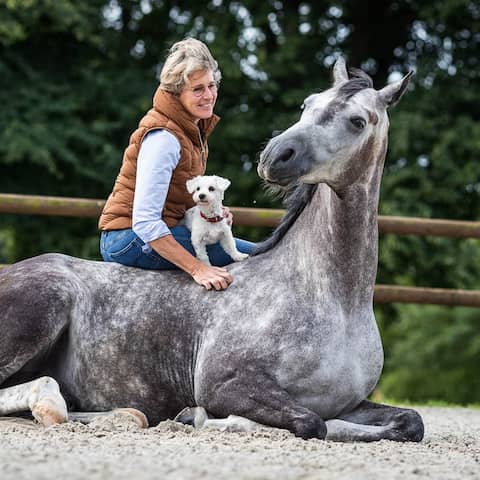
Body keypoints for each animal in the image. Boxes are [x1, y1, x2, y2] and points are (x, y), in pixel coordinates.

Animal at [0, 57, 424, 442]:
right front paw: (199, 417)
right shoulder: (225, 383)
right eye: (308, 103)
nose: (275, 156)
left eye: (358, 121)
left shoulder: (350, 401)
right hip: (43, 307)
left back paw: (123, 416)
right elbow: (311, 422)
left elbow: (410, 422)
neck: (334, 298)